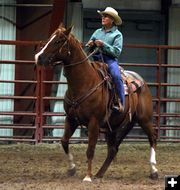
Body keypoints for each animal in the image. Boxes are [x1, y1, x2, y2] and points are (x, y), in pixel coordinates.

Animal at [35, 25, 159, 181]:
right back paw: (100, 174)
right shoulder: (71, 119)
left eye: (58, 41)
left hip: (144, 119)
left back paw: (154, 170)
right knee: (113, 149)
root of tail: (141, 81)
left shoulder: (93, 122)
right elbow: (64, 141)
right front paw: (72, 169)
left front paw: (88, 176)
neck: (84, 83)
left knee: (152, 138)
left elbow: (90, 150)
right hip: (114, 126)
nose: (38, 57)